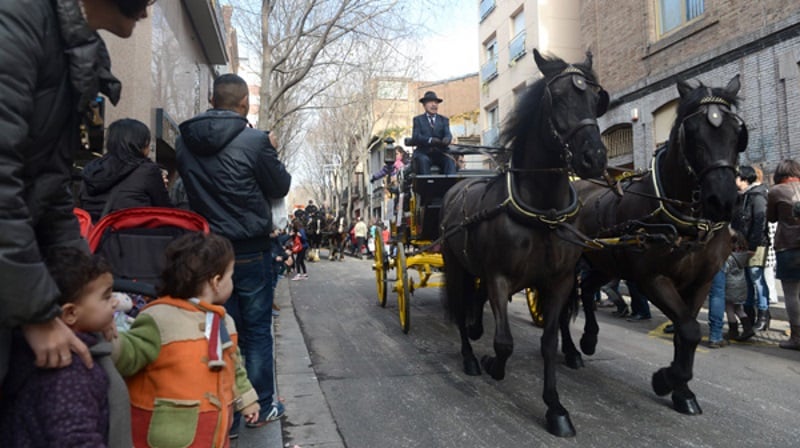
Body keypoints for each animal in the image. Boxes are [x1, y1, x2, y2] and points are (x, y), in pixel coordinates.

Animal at [440, 50, 608, 438]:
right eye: (558, 97)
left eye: (597, 99)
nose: (595, 157)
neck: (542, 211)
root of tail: (457, 186)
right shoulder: (499, 277)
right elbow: (504, 343)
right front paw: (491, 363)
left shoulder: (560, 281)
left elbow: (548, 341)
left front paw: (555, 407)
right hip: (455, 266)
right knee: (458, 305)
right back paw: (470, 356)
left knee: (473, 302)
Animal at [564, 76, 752, 416]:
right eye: (692, 133)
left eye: (738, 132)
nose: (722, 201)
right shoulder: (652, 279)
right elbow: (689, 329)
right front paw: (666, 380)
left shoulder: (701, 282)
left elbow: (685, 332)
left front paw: (683, 391)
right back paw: (572, 351)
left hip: (605, 263)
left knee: (588, 289)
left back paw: (589, 339)